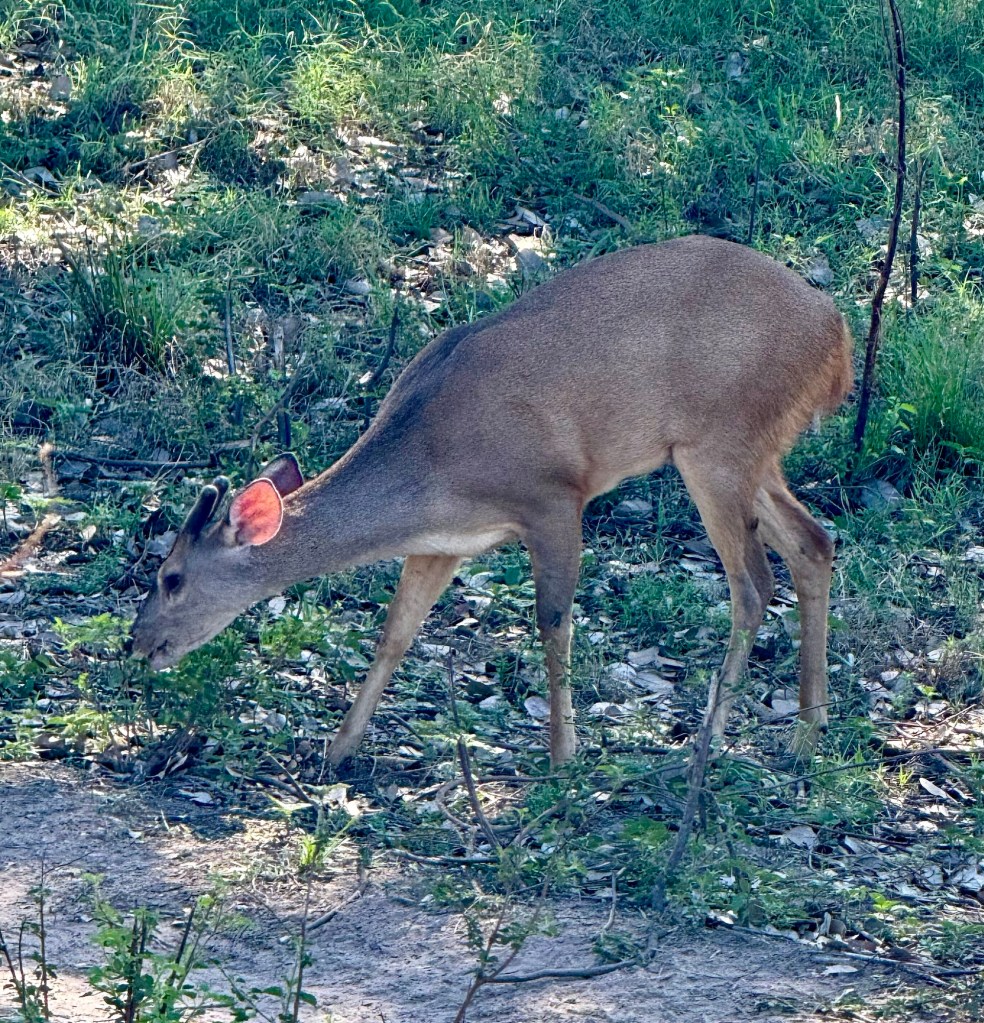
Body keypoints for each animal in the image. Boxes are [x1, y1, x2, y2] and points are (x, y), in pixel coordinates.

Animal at [131, 235, 853, 767]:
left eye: (171, 577)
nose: (136, 642)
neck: (431, 463)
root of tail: (838, 335)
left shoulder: (554, 497)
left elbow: (553, 621)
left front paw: (563, 758)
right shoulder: (441, 540)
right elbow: (396, 631)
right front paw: (338, 749)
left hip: (719, 443)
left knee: (753, 585)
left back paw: (708, 744)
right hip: (750, 451)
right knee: (814, 542)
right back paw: (807, 735)